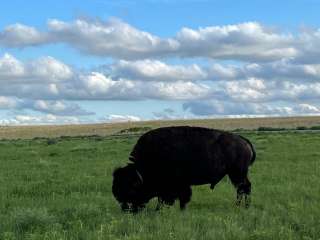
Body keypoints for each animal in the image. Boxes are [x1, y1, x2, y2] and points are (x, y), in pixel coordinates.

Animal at [112, 125, 255, 212]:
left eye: (131, 189)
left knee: (243, 188)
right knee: (243, 188)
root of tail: (242, 140)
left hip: (237, 173)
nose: (127, 210)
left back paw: (241, 207)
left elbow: (178, 198)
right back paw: (242, 206)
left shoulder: (178, 185)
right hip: (237, 174)